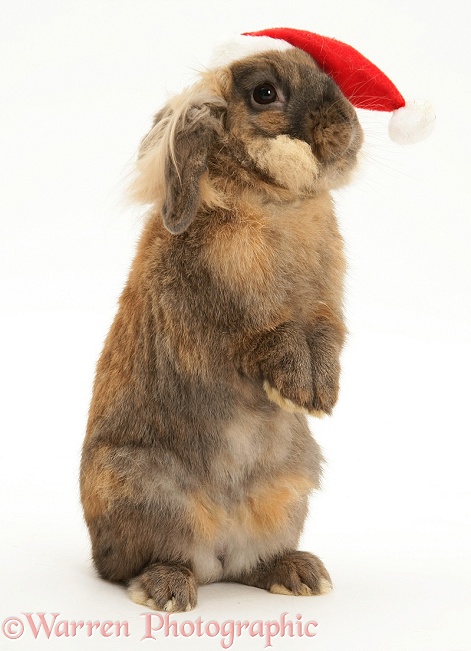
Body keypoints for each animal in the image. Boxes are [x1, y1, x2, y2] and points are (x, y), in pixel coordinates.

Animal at [79, 29, 366, 612]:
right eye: (264, 93)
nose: (347, 126)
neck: (274, 201)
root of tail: (219, 554)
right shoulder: (233, 312)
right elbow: (274, 336)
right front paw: (298, 392)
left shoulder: (327, 307)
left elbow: (326, 334)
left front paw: (321, 397)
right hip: (141, 490)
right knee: (136, 564)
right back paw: (167, 591)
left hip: (288, 491)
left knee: (252, 561)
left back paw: (299, 575)